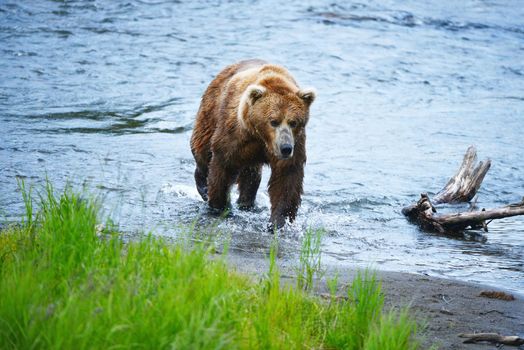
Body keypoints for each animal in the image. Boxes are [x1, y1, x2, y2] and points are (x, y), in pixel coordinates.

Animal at [191, 60, 316, 230]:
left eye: (293, 122)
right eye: (273, 121)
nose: (285, 148)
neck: (261, 137)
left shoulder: (295, 143)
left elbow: (286, 178)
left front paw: (278, 222)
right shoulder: (235, 135)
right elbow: (222, 166)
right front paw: (219, 206)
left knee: (251, 177)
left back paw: (246, 202)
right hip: (210, 114)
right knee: (203, 152)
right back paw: (203, 187)